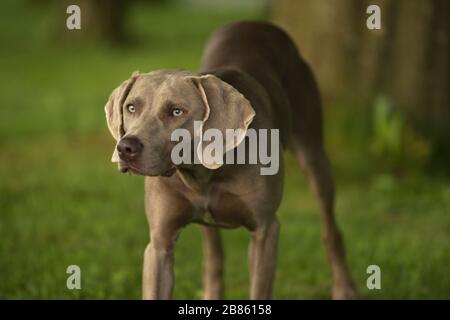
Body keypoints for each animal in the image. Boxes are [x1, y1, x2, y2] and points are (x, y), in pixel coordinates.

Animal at [103, 21, 356, 298]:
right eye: (131, 107)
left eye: (176, 111)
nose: (126, 147)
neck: (203, 174)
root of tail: (258, 23)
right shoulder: (160, 243)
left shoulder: (265, 230)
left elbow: (259, 288)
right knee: (213, 257)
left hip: (313, 153)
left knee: (330, 229)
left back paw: (344, 288)